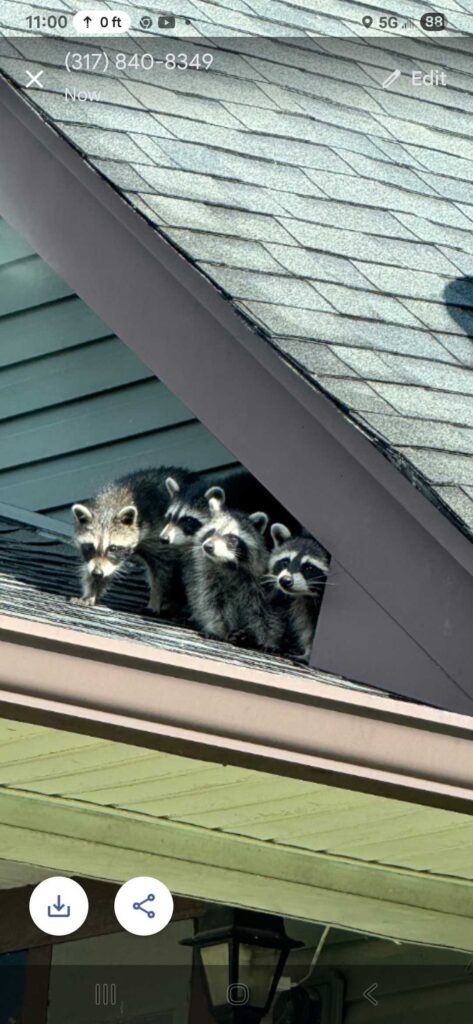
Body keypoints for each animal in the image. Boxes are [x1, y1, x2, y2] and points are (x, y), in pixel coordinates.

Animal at [69, 467, 192, 612]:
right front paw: (91, 592)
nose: (97, 573)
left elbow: (162, 570)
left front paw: (156, 599)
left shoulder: (160, 532)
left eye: (113, 548)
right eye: (90, 547)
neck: (112, 505)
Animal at [184, 488, 285, 651]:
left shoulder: (260, 584)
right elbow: (212, 604)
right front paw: (220, 630)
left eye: (231, 538)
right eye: (211, 532)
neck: (226, 564)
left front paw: (270, 639)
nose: (208, 546)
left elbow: (265, 611)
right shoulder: (208, 579)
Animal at [267, 524, 330, 660]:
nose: (285, 581)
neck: (308, 595)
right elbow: (305, 624)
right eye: (285, 562)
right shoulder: (303, 603)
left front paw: (308, 654)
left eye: (309, 568)